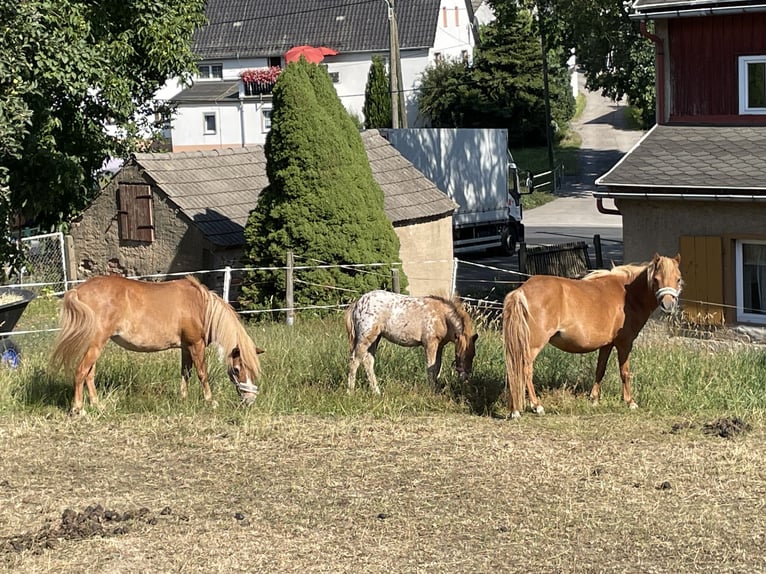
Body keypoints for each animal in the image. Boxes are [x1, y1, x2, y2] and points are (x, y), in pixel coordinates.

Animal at [48, 276, 264, 416]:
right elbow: (202, 373)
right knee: (81, 371)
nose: (250, 400)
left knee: (89, 374)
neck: (201, 306)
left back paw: (97, 405)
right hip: (95, 344)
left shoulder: (185, 347)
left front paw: (183, 399)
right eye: (237, 369)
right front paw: (210, 401)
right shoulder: (196, 344)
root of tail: (78, 290)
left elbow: (186, 373)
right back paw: (79, 408)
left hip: (96, 344)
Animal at [344, 290, 476, 394]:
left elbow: (437, 367)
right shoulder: (430, 344)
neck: (442, 317)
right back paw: (350, 392)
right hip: (366, 338)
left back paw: (377, 392)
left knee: (368, 361)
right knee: (354, 360)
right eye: (458, 355)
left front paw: (435, 389)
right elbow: (431, 367)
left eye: (473, 355)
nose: (465, 379)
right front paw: (431, 391)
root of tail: (357, 303)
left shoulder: (440, 346)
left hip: (376, 338)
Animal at [504, 255, 684, 418]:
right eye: (656, 279)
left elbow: (600, 370)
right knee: (525, 370)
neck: (628, 295)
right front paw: (630, 402)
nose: (668, 305)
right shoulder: (624, 343)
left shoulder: (607, 344)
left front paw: (594, 399)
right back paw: (536, 406)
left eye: (678, 279)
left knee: (514, 370)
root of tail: (521, 291)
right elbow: (625, 372)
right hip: (533, 345)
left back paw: (515, 410)